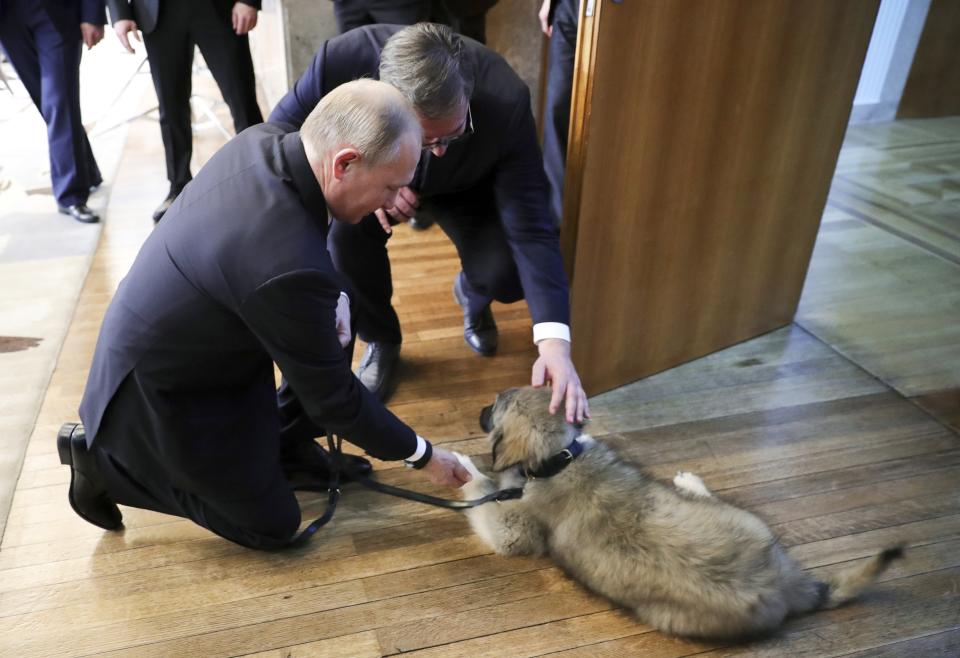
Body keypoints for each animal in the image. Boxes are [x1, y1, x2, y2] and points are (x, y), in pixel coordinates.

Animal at [456, 384, 900, 636]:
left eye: (494, 406)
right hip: (748, 523)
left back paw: (689, 482)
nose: (478, 411)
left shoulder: (513, 528)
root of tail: (785, 581)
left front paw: (462, 467)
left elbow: (483, 497)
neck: (560, 457)